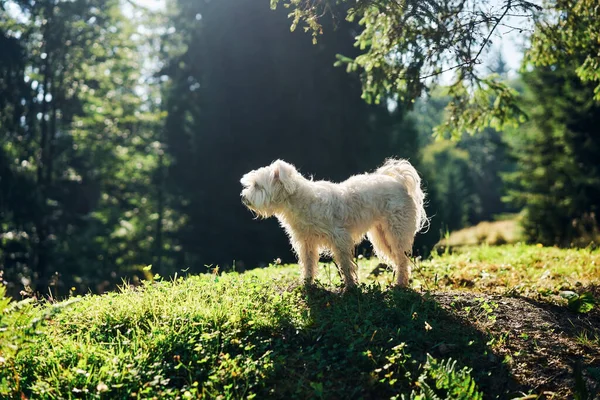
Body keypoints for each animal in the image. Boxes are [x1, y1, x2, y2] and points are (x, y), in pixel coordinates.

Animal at [239, 159, 426, 288]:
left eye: (256, 185)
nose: (243, 197)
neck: (301, 201)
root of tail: (399, 181)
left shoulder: (340, 238)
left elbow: (345, 264)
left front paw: (350, 286)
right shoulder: (306, 242)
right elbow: (308, 263)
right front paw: (307, 283)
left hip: (396, 232)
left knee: (402, 259)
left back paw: (400, 283)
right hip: (381, 235)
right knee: (399, 259)